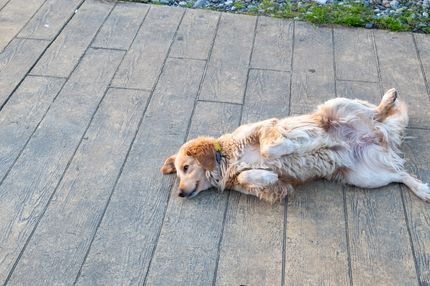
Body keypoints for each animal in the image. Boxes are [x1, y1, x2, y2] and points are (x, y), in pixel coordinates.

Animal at [160, 89, 430, 203]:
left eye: (186, 167)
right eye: (178, 174)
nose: (180, 193)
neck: (224, 160)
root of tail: (377, 134)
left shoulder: (262, 128)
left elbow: (270, 147)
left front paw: (288, 147)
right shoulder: (264, 188)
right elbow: (251, 177)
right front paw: (268, 175)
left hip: (335, 105)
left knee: (376, 112)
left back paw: (388, 99)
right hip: (364, 176)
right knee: (400, 175)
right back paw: (423, 191)